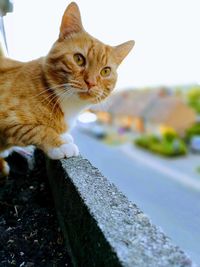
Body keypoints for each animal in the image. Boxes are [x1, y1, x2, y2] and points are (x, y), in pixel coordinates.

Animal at [0, 2, 135, 178]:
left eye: (105, 71)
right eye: (79, 59)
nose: (91, 82)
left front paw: (63, 137)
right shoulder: (6, 116)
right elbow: (35, 128)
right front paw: (59, 143)